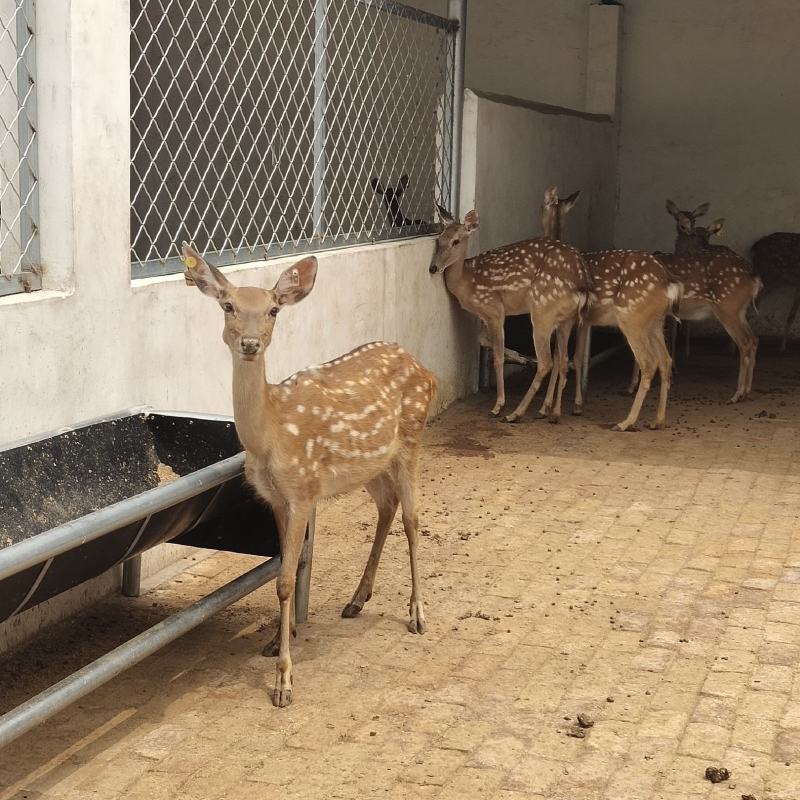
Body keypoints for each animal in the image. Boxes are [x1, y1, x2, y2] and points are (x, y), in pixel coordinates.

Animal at [181, 244, 437, 708]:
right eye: (228, 306)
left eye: (273, 310)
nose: (249, 343)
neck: (270, 435)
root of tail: (426, 371)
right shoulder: (277, 498)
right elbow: (287, 565)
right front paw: (277, 641)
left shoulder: (302, 490)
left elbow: (284, 580)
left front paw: (284, 680)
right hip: (372, 463)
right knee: (387, 506)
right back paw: (356, 600)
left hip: (412, 438)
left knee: (412, 519)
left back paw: (417, 613)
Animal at [429, 206, 591, 423]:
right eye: (439, 240)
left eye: (456, 241)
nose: (433, 268)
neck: (466, 281)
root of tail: (581, 279)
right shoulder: (484, 314)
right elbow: (484, 341)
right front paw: (519, 357)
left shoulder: (494, 308)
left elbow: (498, 357)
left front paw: (499, 405)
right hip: (565, 319)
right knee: (563, 359)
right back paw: (550, 411)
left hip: (542, 310)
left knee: (547, 361)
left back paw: (516, 413)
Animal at [541, 186, 682, 430]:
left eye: (541, 206)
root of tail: (669, 282)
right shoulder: (585, 321)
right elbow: (577, 357)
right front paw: (577, 405)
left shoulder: (566, 318)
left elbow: (561, 357)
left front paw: (547, 407)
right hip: (655, 322)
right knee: (666, 361)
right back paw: (657, 420)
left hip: (632, 317)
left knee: (649, 362)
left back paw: (626, 422)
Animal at [658, 200, 762, 402]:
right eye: (677, 217)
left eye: (693, 219)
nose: (685, 226)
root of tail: (753, 277)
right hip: (740, 310)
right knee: (754, 339)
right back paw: (746, 392)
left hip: (728, 307)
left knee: (745, 342)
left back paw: (737, 394)